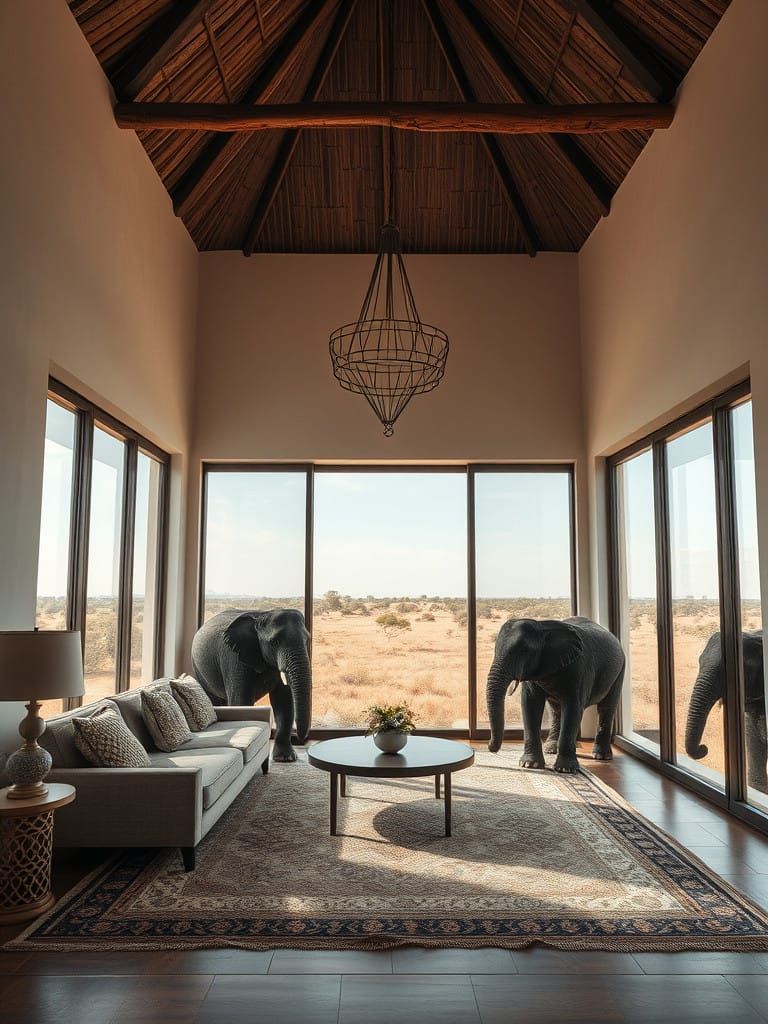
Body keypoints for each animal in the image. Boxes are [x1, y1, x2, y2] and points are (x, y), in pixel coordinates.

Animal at [191, 608, 311, 763]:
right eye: (275, 642)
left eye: (307, 640)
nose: (301, 740)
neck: (262, 616)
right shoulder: (235, 659)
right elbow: (241, 701)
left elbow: (284, 702)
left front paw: (285, 759)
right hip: (198, 669)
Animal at [487, 616, 626, 774]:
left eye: (523, 651)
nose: (490, 748)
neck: (542, 628)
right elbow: (530, 705)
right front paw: (530, 765)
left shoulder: (578, 668)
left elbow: (573, 707)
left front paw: (565, 769)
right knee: (555, 709)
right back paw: (552, 749)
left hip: (620, 670)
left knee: (606, 708)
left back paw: (601, 756)